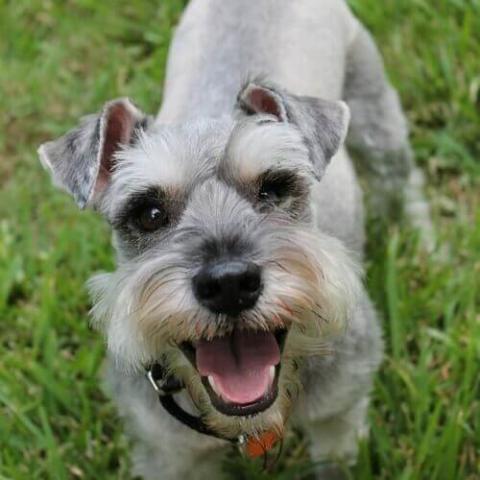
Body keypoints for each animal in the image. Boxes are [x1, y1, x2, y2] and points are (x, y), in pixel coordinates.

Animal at [39, 0, 434, 478]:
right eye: (148, 213)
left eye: (273, 188)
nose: (229, 284)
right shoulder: (170, 454)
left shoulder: (339, 414)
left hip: (376, 118)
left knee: (404, 182)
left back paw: (429, 248)